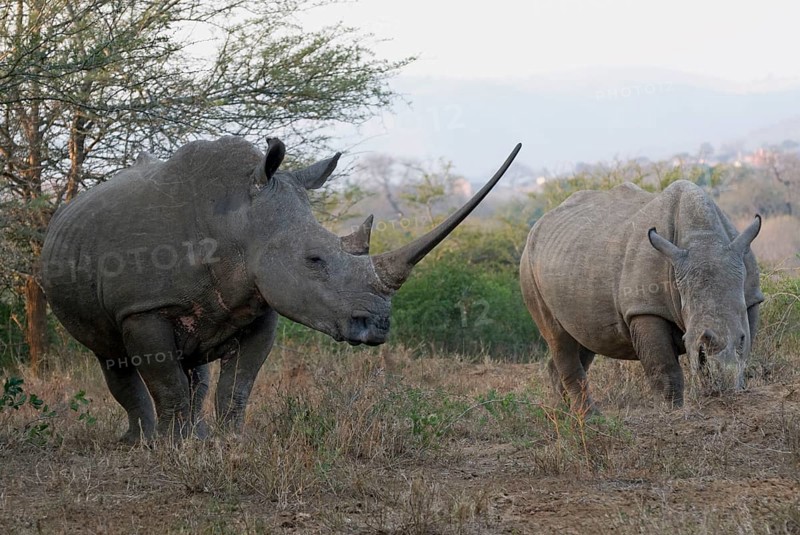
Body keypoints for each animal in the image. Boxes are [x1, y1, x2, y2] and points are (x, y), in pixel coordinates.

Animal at [40, 136, 521, 442]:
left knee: (194, 370)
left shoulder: (261, 303)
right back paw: (141, 443)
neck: (239, 220)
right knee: (111, 357)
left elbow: (237, 386)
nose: (379, 326)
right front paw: (172, 450)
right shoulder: (143, 309)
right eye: (314, 260)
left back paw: (193, 437)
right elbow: (167, 385)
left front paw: (229, 444)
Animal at [519, 180, 762, 412]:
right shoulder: (645, 309)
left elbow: (747, 351)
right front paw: (670, 411)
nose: (717, 385)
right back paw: (589, 418)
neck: (704, 239)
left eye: (741, 339)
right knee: (559, 337)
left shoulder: (751, 298)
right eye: (688, 340)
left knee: (583, 339)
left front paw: (736, 387)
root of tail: (538, 225)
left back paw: (564, 414)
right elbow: (664, 369)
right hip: (528, 266)